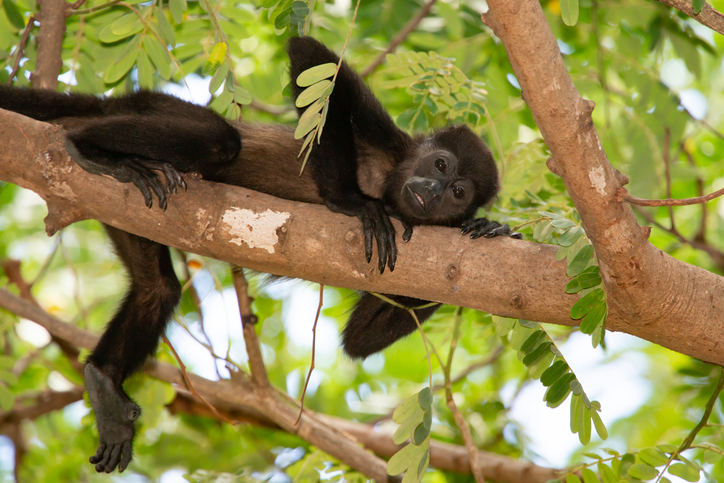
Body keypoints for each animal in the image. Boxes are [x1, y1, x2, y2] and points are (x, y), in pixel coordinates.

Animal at [0, 37, 519, 473]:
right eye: (440, 164)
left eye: (458, 191)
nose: (431, 191)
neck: (392, 185)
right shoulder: (389, 139)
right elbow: (315, 60)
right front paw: (350, 202)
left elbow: (358, 341)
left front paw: (487, 226)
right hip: (154, 106)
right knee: (218, 136)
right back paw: (89, 143)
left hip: (122, 211)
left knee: (156, 289)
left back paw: (103, 381)